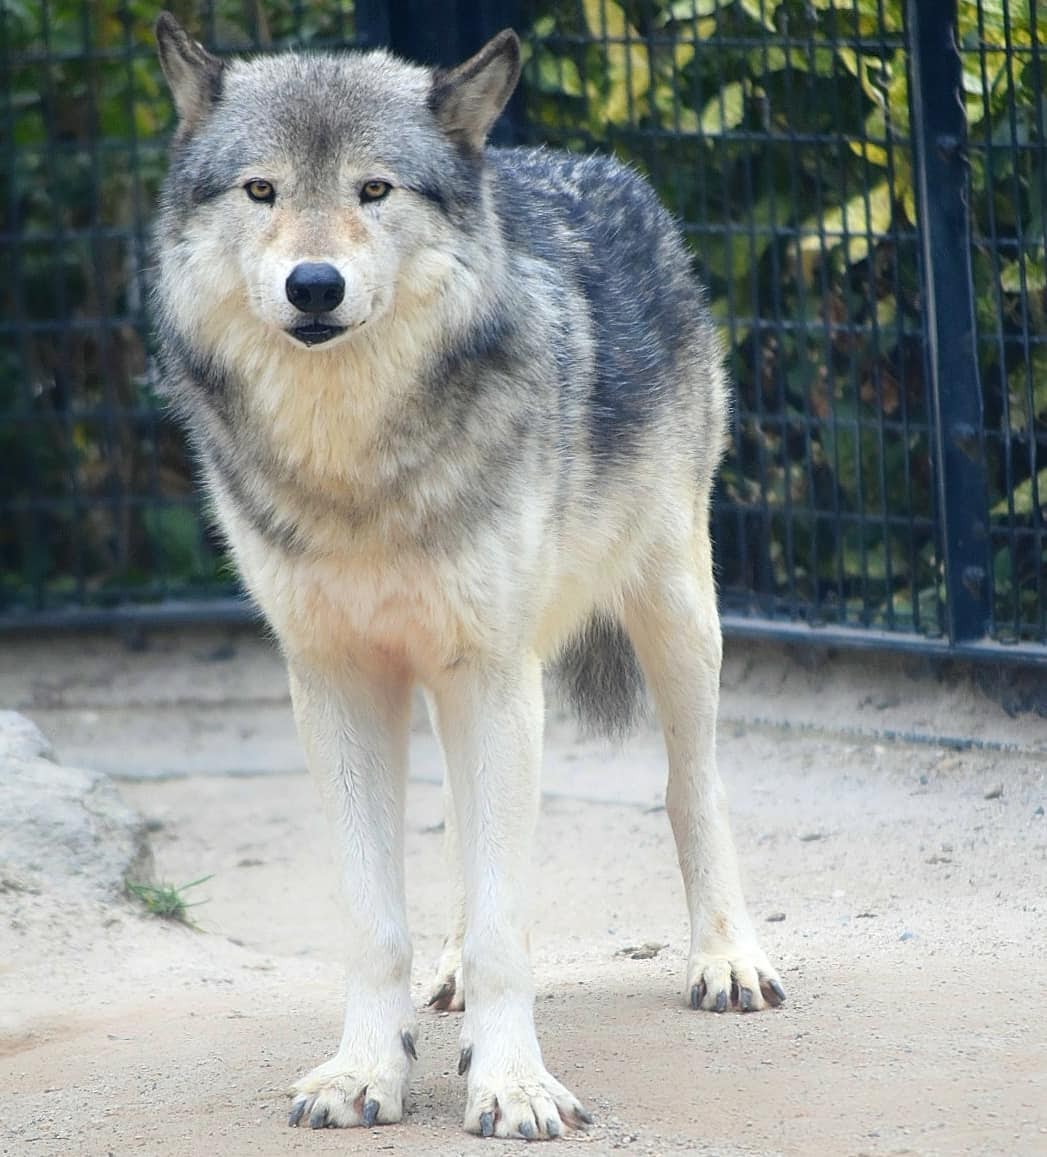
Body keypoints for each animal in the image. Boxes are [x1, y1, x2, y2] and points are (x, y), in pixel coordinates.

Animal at [153, 11, 785, 1141]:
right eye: (262, 190)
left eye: (374, 189)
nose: (313, 284)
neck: (354, 464)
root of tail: (593, 164)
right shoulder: (339, 681)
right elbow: (375, 920)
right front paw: (367, 1068)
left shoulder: (491, 673)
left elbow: (508, 928)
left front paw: (512, 1084)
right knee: (460, 842)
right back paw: (441, 974)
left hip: (672, 610)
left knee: (690, 785)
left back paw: (725, 958)